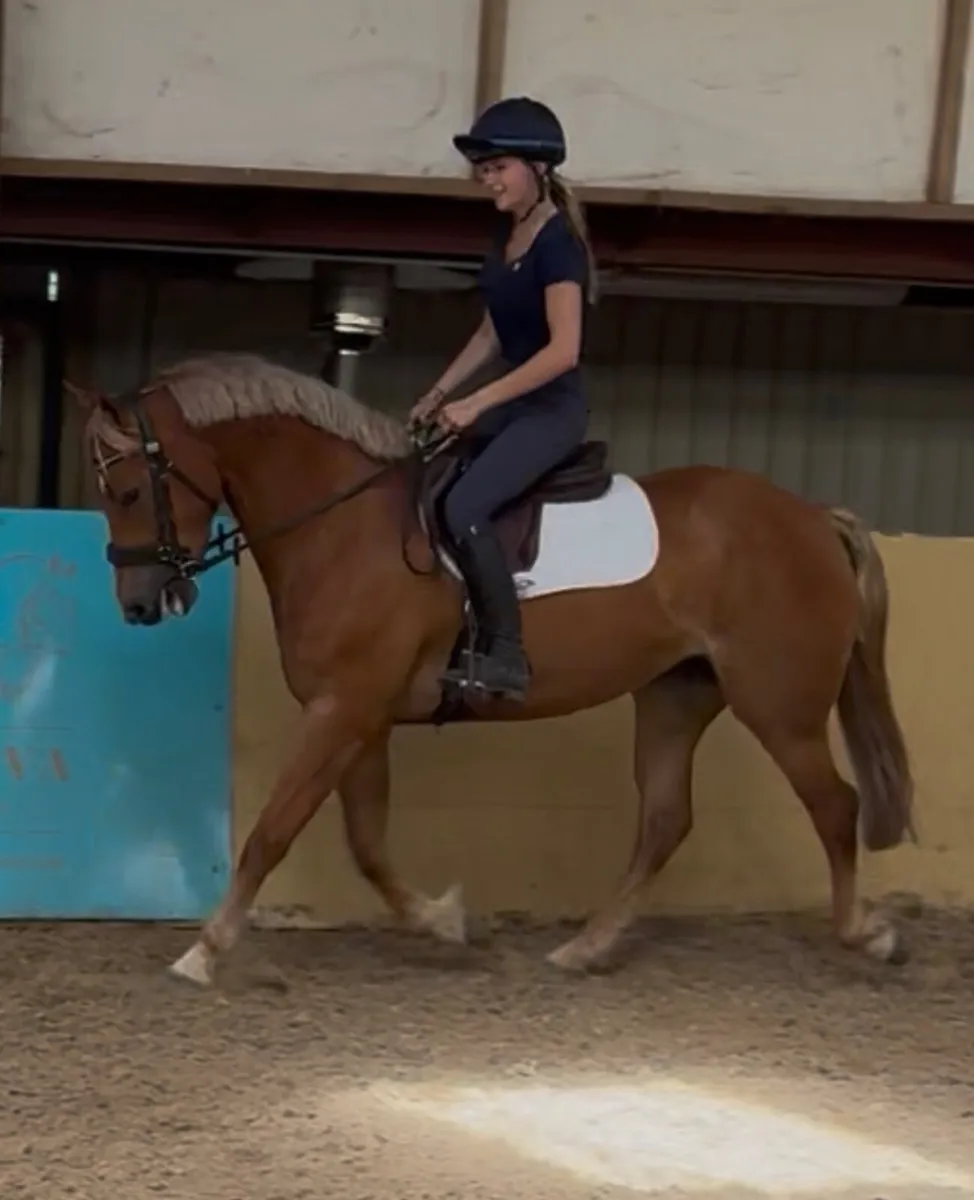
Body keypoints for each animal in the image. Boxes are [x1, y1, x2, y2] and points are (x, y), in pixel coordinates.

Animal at [68, 352, 915, 987]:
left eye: (129, 488)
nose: (140, 604)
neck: (344, 527)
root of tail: (811, 516)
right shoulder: (362, 716)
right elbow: (366, 843)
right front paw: (444, 922)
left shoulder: (342, 708)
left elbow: (273, 831)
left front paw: (204, 950)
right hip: (676, 693)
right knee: (667, 819)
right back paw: (586, 947)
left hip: (779, 704)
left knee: (834, 806)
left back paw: (865, 935)